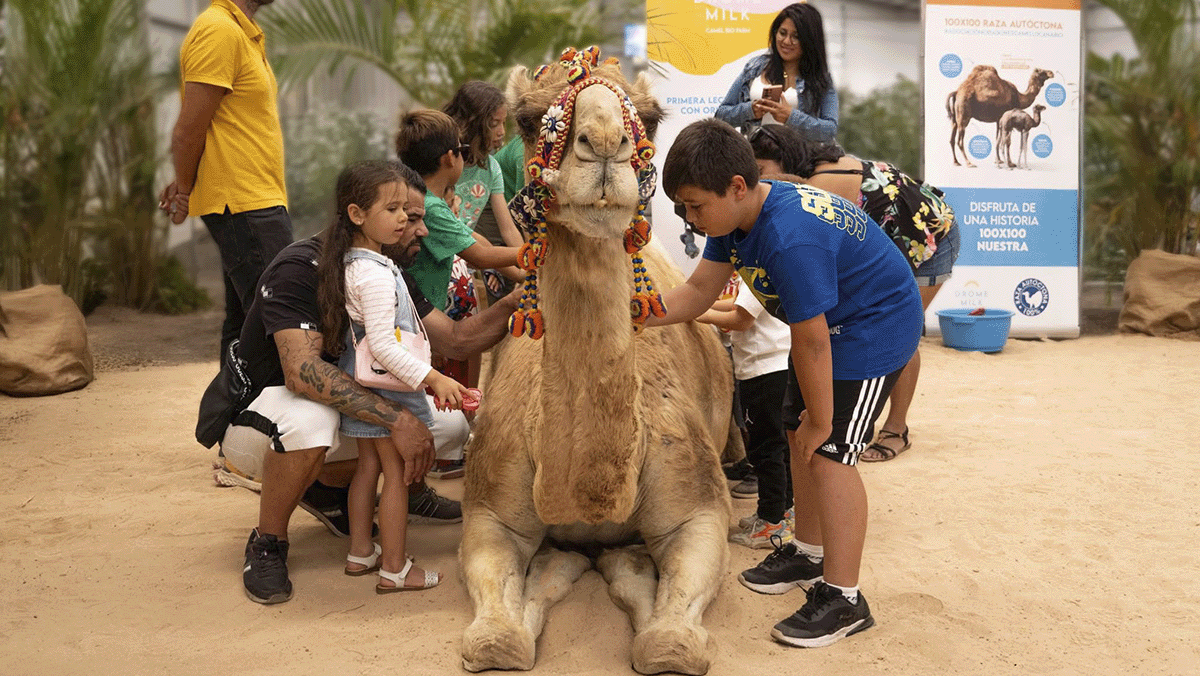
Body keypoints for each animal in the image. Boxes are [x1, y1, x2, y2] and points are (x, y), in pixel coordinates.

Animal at [458, 47, 735, 676]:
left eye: (651, 117)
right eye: (528, 118)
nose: (605, 143)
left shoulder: (703, 510)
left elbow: (668, 645)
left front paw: (622, 563)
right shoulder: (487, 511)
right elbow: (497, 642)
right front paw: (558, 565)